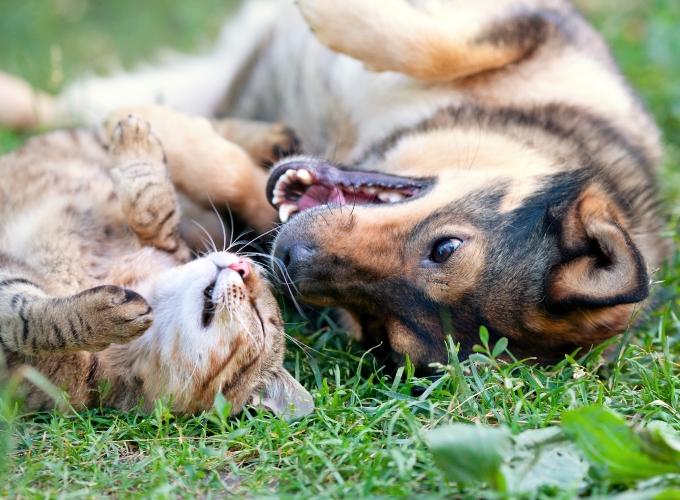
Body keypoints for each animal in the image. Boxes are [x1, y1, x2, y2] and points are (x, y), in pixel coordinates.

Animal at [0, 0, 668, 372]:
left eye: (381, 333)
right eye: (446, 247)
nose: (289, 260)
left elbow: (240, 182)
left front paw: (172, 136)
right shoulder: (535, 26)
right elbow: (438, 44)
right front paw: (332, 12)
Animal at [0, 111, 314, 416]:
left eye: (260, 319)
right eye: (257, 270)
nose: (242, 266)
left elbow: (29, 326)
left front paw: (104, 317)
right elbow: (152, 206)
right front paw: (136, 144)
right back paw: (273, 139)